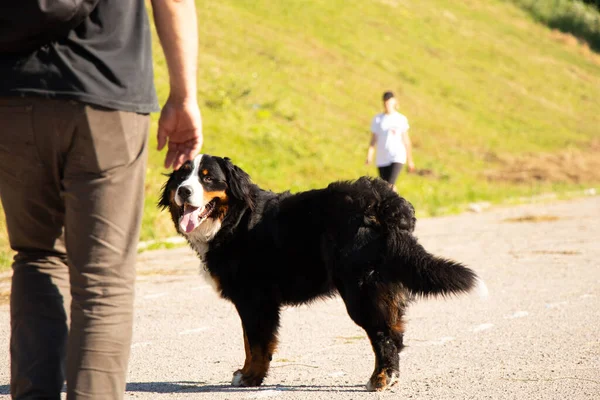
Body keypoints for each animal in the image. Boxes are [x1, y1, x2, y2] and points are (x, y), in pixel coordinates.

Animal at [157, 155, 486, 392]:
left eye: (207, 177)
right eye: (182, 176)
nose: (183, 190)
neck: (234, 220)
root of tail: (382, 200)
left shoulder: (254, 299)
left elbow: (257, 343)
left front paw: (250, 378)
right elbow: (252, 343)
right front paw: (248, 375)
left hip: (360, 289)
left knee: (382, 334)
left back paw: (380, 379)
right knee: (395, 332)